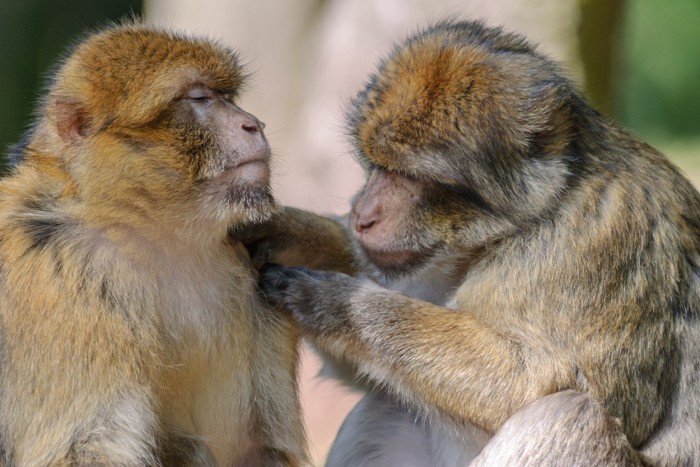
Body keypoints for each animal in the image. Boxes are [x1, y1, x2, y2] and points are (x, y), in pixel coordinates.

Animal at [0, 23, 306, 466]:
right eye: (198, 98)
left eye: (227, 97)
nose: (254, 124)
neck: (145, 231)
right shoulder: (61, 280)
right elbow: (85, 447)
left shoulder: (252, 272)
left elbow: (258, 445)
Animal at [239, 19, 696, 467]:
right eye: (377, 165)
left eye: (411, 177)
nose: (362, 215)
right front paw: (285, 231)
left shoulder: (596, 245)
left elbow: (539, 382)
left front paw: (336, 303)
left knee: (572, 416)